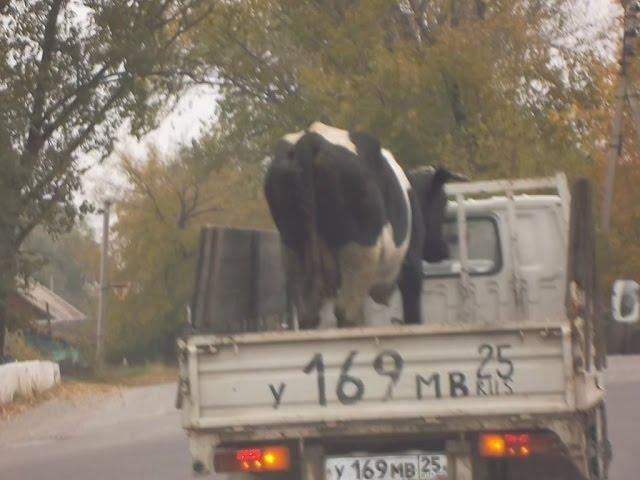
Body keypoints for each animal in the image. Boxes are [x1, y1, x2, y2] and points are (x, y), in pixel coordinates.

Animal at [264, 122, 456, 328]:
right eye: (443, 202)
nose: (442, 250)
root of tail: (311, 139)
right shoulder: (411, 266)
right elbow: (413, 315)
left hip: (294, 251)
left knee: (309, 314)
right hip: (360, 252)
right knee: (346, 312)